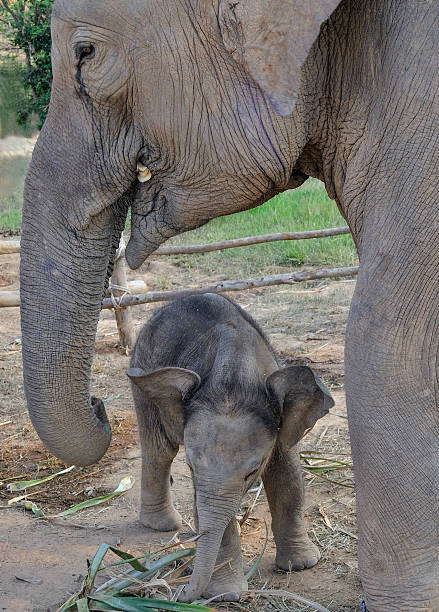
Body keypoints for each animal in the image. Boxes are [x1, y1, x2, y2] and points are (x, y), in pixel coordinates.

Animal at [127, 296, 334, 604]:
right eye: (190, 467)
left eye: (252, 472)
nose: (176, 591)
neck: (236, 374)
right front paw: (227, 595)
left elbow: (287, 476)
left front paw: (301, 565)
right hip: (142, 370)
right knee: (160, 449)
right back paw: (164, 526)